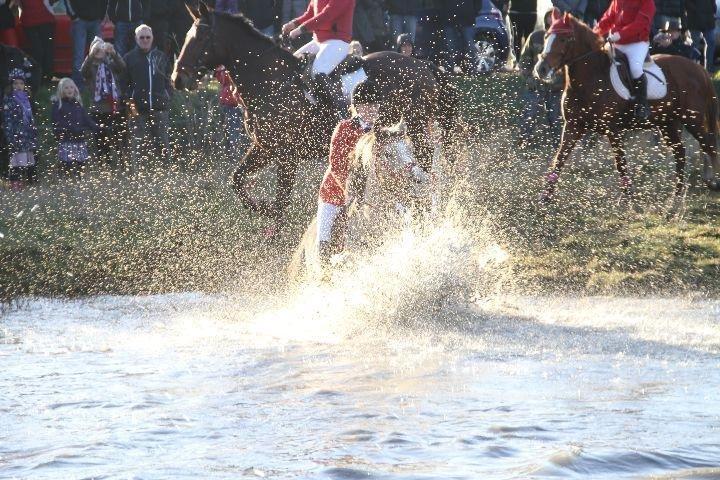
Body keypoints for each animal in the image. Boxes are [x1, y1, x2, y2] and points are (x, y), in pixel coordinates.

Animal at [172, 2, 458, 235]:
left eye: (201, 37)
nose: (178, 79)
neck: (269, 80)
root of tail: (421, 65)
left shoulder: (287, 156)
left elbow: (282, 199)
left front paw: (274, 231)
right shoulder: (265, 148)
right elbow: (238, 180)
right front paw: (262, 208)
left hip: (416, 127)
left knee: (426, 164)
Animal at [536, 11, 720, 202]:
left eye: (564, 39)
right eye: (546, 36)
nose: (541, 69)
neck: (591, 80)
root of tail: (698, 68)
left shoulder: (613, 130)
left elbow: (620, 163)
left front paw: (626, 198)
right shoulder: (573, 126)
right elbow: (559, 158)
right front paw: (545, 197)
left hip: (693, 120)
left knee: (709, 146)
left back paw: (712, 182)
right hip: (667, 123)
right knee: (680, 152)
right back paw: (675, 196)